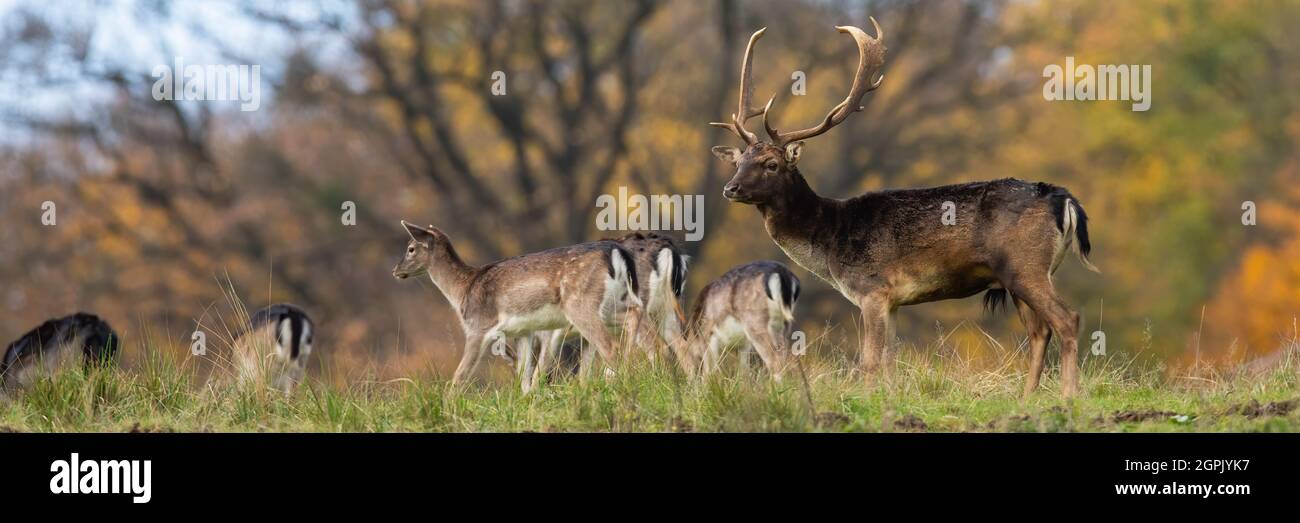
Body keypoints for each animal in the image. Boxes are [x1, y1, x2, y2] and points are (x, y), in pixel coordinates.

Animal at [392, 221, 652, 392]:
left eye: (411, 248)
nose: (396, 270)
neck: (463, 290)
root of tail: (618, 254)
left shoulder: (478, 326)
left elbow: (460, 376)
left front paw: (448, 409)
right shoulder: (522, 331)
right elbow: (524, 379)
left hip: (581, 304)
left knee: (611, 346)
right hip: (609, 304)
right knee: (636, 314)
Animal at [709, 18, 1099, 398]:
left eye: (771, 164)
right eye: (739, 161)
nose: (730, 188)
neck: (832, 238)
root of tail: (1064, 199)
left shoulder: (872, 289)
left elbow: (868, 360)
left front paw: (866, 401)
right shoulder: (894, 301)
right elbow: (890, 361)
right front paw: (891, 399)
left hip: (1025, 266)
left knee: (1067, 320)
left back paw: (1069, 397)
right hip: (1018, 276)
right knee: (1039, 331)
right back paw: (1026, 399)